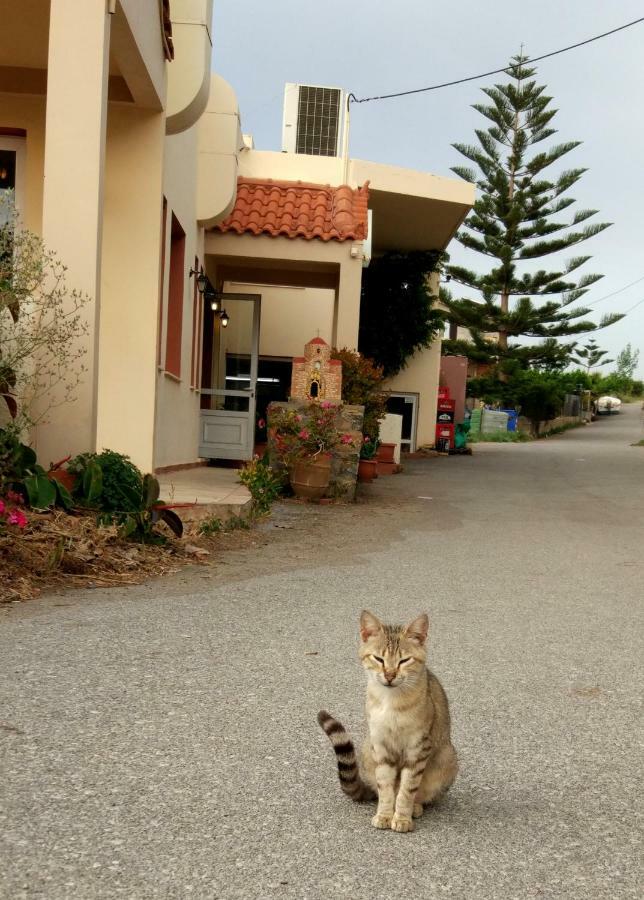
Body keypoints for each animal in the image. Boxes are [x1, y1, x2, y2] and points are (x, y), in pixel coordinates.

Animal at [316, 608, 458, 832]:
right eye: (378, 659)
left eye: (404, 660)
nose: (390, 675)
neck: (390, 702)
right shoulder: (380, 745)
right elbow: (385, 788)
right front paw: (384, 814)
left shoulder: (418, 748)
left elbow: (407, 790)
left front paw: (401, 817)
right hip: (368, 750)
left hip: (447, 757)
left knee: (421, 794)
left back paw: (415, 807)